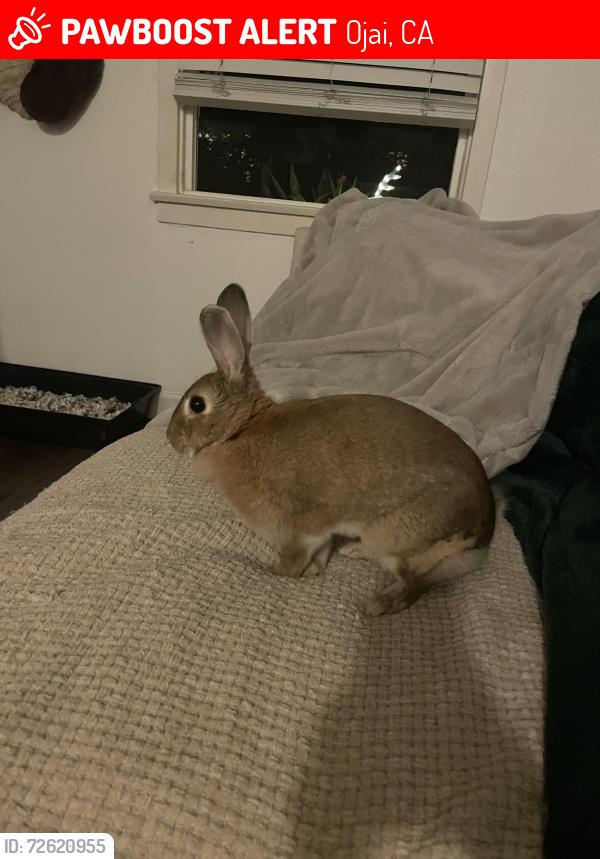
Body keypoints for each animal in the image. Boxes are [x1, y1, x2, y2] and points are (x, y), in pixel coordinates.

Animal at [167, 283, 496, 616]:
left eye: (197, 404)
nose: (171, 438)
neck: (241, 429)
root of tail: (484, 530)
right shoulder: (319, 530)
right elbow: (322, 551)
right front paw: (314, 571)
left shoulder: (294, 529)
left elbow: (293, 558)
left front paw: (276, 573)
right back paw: (354, 552)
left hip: (394, 538)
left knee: (415, 585)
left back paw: (377, 604)